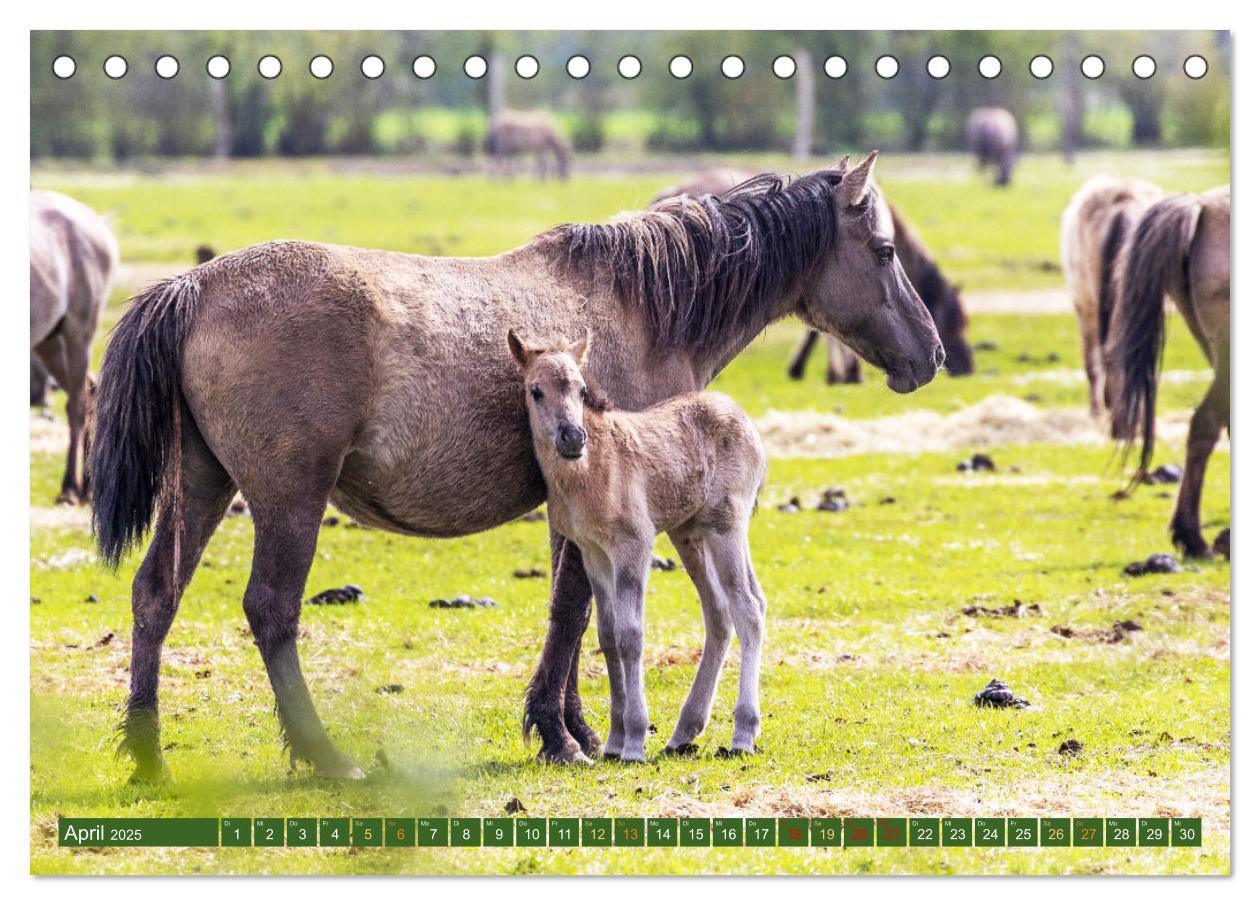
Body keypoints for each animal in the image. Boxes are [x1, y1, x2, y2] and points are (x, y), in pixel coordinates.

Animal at [29, 190, 117, 506]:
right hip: (48, 341)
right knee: (90, 391)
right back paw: (88, 485)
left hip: (78, 331)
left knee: (77, 403)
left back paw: (71, 487)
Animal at [511, 330, 766, 761]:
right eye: (536, 391)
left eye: (582, 390)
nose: (572, 438)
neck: (592, 469)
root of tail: (742, 416)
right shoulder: (594, 552)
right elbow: (608, 636)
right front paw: (614, 741)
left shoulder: (634, 544)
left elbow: (631, 635)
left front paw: (633, 740)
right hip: (689, 532)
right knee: (723, 609)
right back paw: (684, 732)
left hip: (726, 524)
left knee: (747, 608)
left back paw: (742, 735)